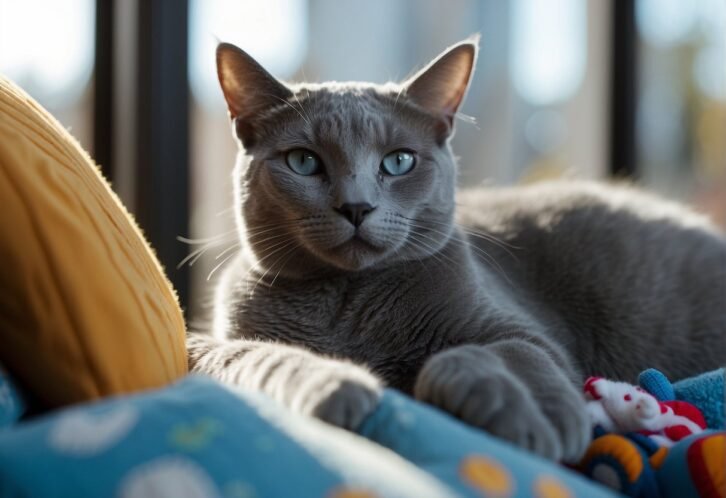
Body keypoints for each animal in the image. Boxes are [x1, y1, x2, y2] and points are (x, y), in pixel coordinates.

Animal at [188, 37, 726, 462]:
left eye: (399, 161)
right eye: (303, 161)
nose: (357, 206)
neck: (347, 305)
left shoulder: (515, 327)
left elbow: (515, 351)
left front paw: (529, 415)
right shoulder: (215, 338)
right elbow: (249, 356)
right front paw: (334, 387)